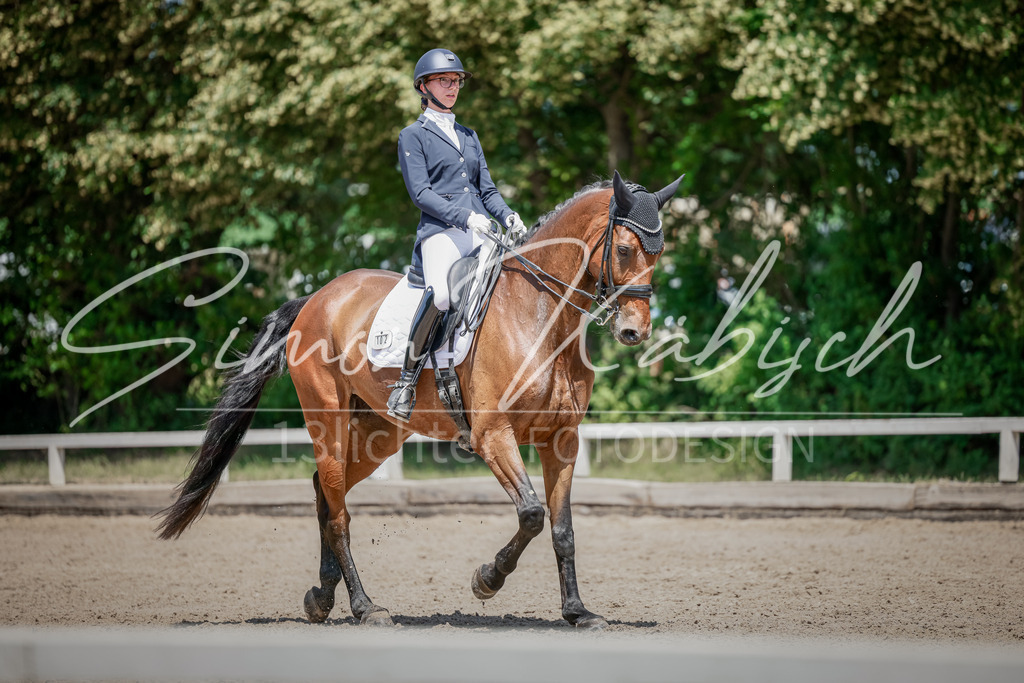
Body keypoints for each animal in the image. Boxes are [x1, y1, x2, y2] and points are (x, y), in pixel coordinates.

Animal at [156, 171, 684, 629]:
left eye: (660, 253)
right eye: (623, 248)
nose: (635, 331)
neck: (540, 316)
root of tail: (315, 298)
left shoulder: (562, 440)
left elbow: (563, 529)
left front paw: (578, 612)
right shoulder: (493, 436)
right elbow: (533, 515)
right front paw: (486, 580)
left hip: (377, 435)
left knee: (326, 493)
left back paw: (322, 598)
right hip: (327, 419)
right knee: (339, 513)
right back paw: (365, 607)